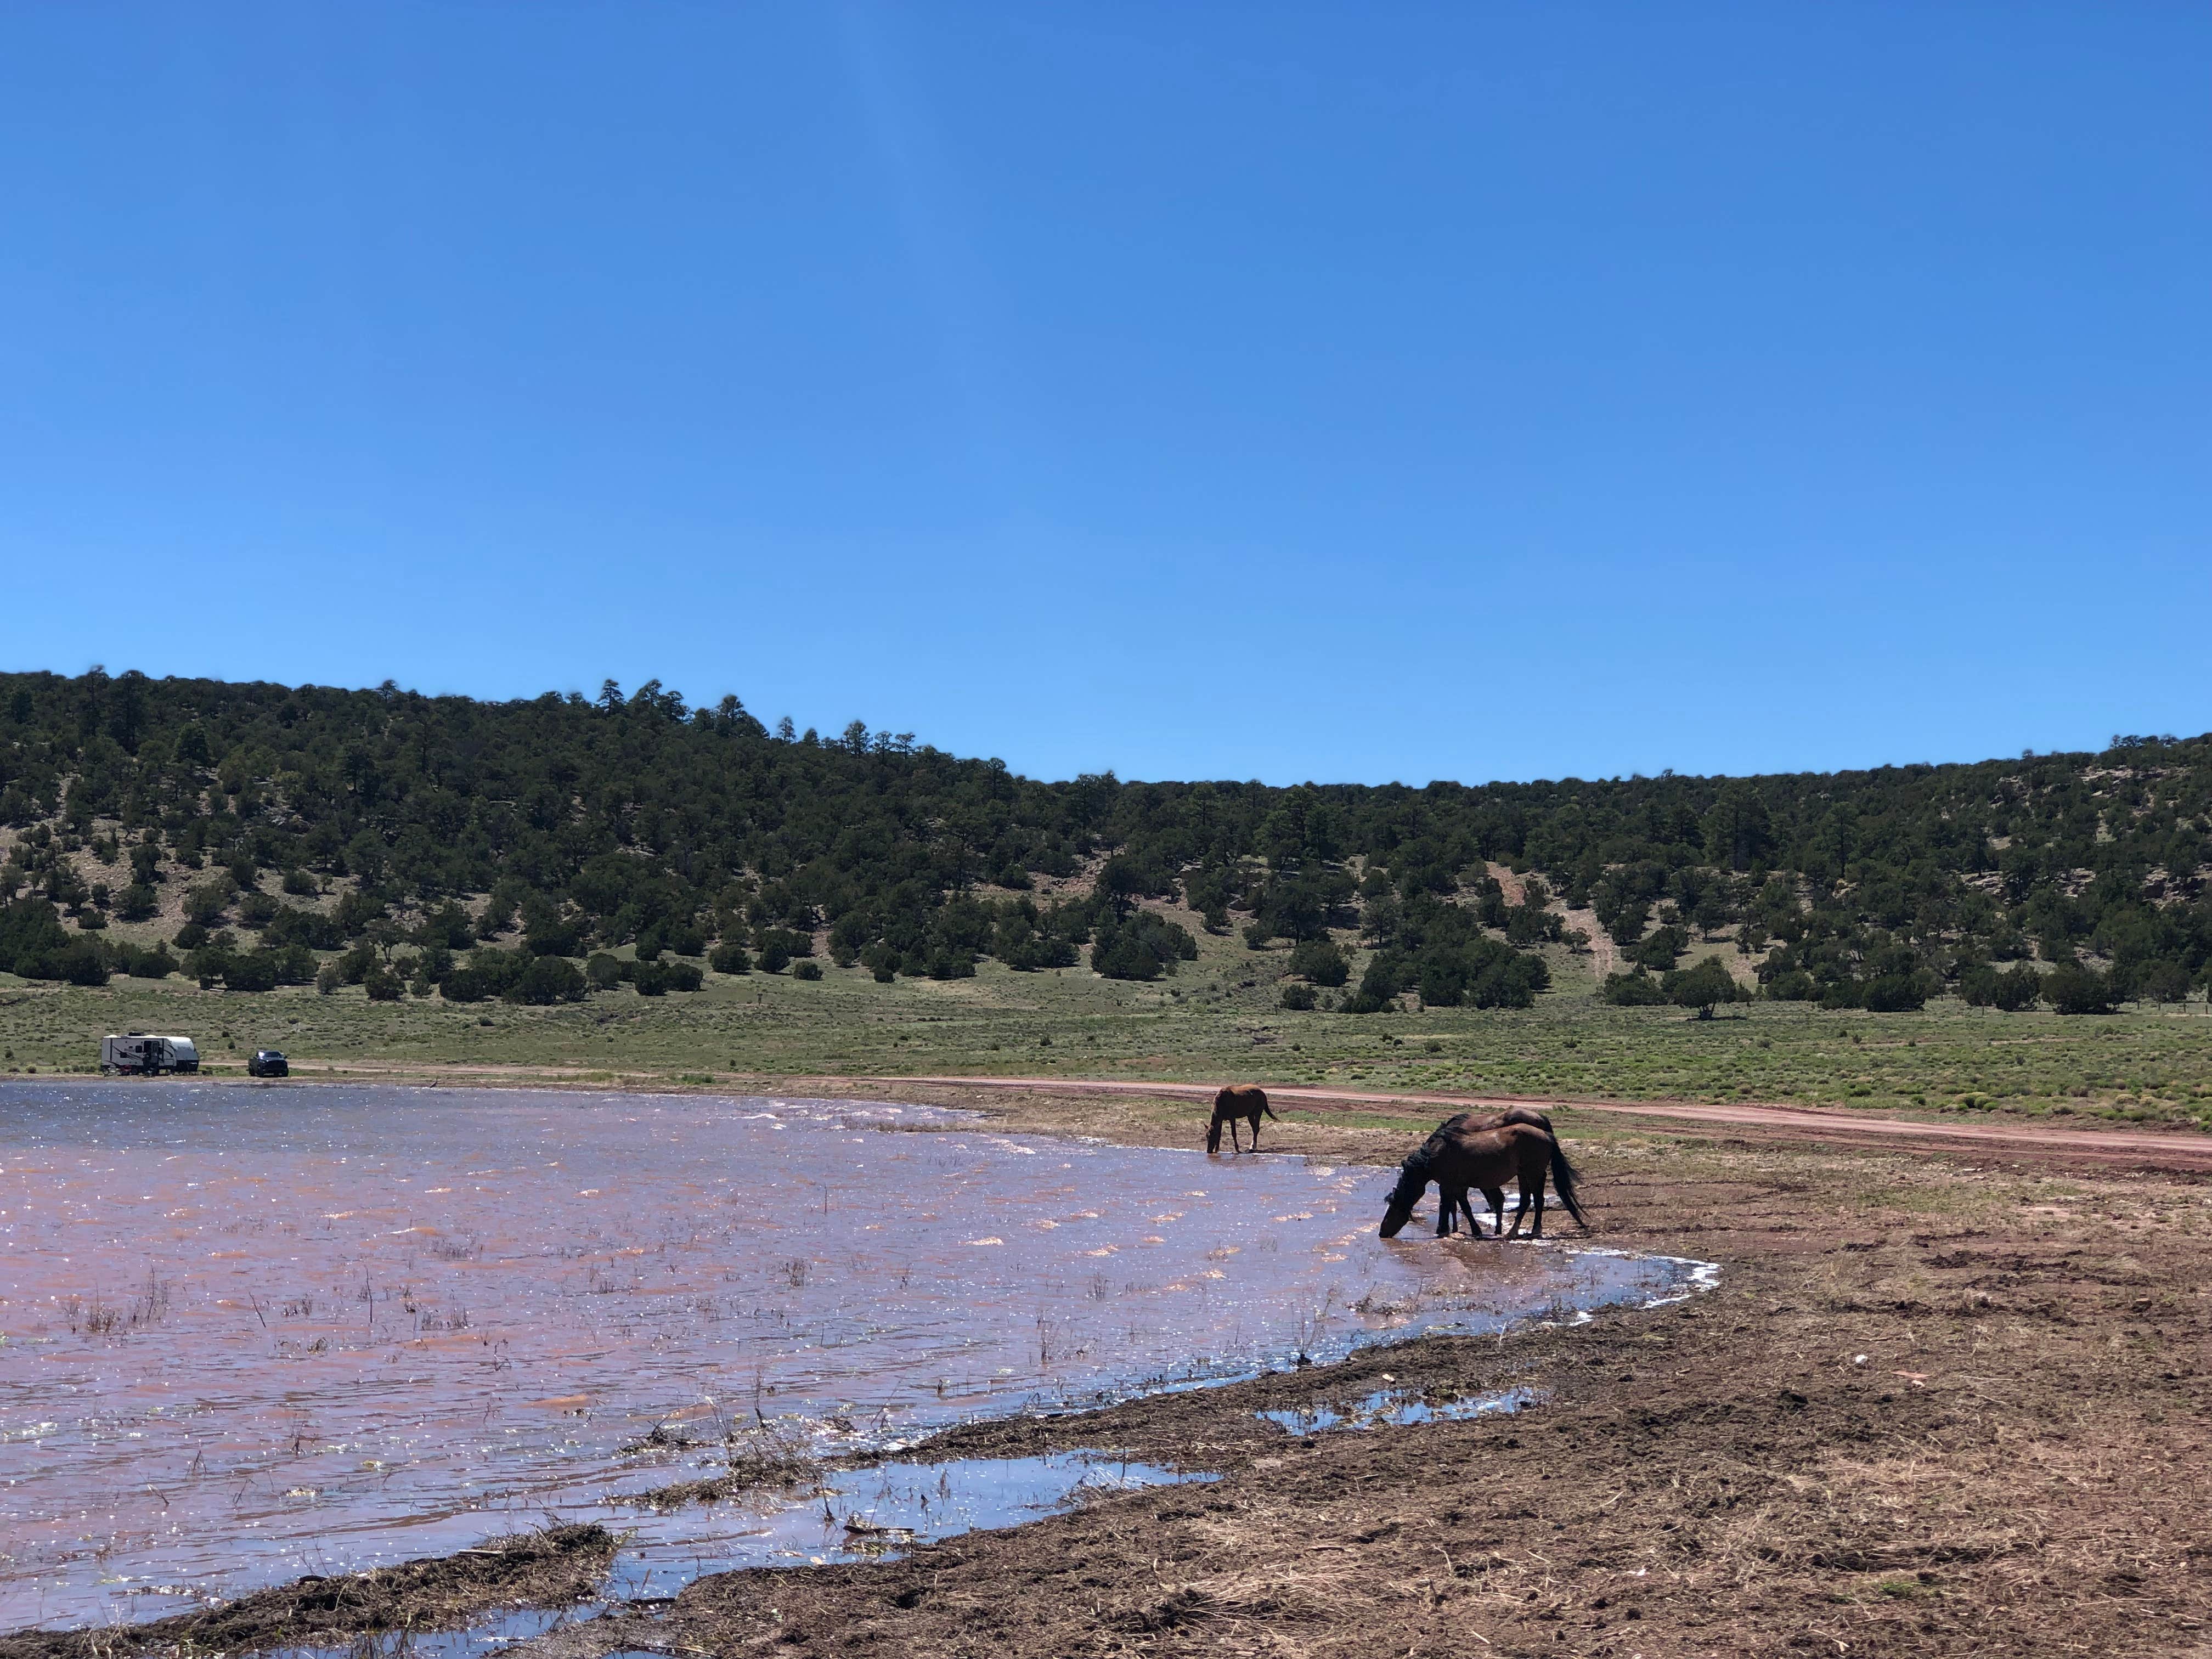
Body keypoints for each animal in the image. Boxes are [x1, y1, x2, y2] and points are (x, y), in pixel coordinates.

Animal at [1206, 1084, 1278, 1154]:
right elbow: (1219, 1133)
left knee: (1256, 1129)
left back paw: (1252, 1147)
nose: (1209, 1151)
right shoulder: (1220, 1120)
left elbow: (1234, 1133)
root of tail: (1263, 1093)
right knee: (1254, 1129)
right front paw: (1217, 1149)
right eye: (1207, 1136)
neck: (1222, 1102)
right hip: (1250, 1115)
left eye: (1213, 1136)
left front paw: (1237, 1149)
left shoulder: (1232, 1118)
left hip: (1258, 1112)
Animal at [1378, 1120, 1586, 1241]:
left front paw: (1450, 1230)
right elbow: (1458, 1206)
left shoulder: (1449, 1184)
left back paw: (1532, 1231)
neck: (1435, 1155)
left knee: (1538, 1200)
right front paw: (1457, 1230)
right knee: (1526, 1201)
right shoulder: (1456, 1186)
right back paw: (1513, 1232)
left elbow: (1452, 1206)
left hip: (1532, 1174)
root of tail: (1547, 1135)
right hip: (1523, 1175)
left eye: (1393, 1208)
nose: (1381, 1233)